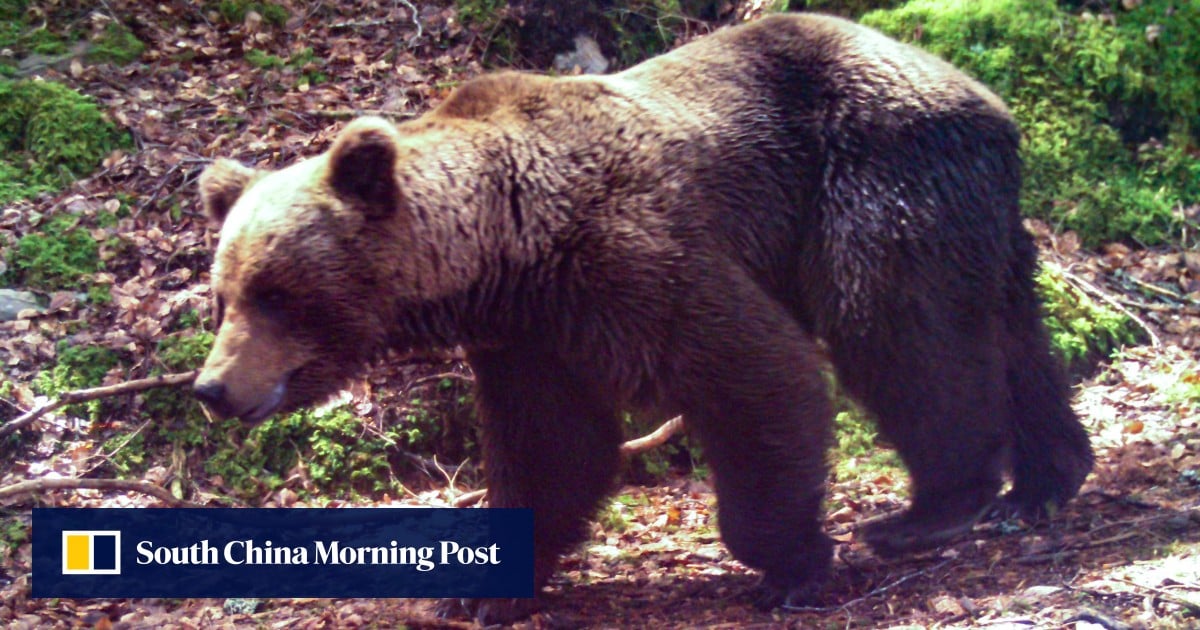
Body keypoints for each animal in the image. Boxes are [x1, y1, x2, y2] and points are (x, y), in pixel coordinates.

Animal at [193, 12, 1093, 623]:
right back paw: (1044, 482)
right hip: (971, 213)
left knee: (896, 326)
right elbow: (550, 447)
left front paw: (792, 563)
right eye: (224, 294)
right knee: (1011, 335)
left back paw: (929, 509)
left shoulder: (633, 257)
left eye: (275, 292)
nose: (212, 388)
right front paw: (482, 592)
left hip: (874, 176)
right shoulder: (529, 338)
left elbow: (759, 373)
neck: (509, 246)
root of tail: (988, 99)